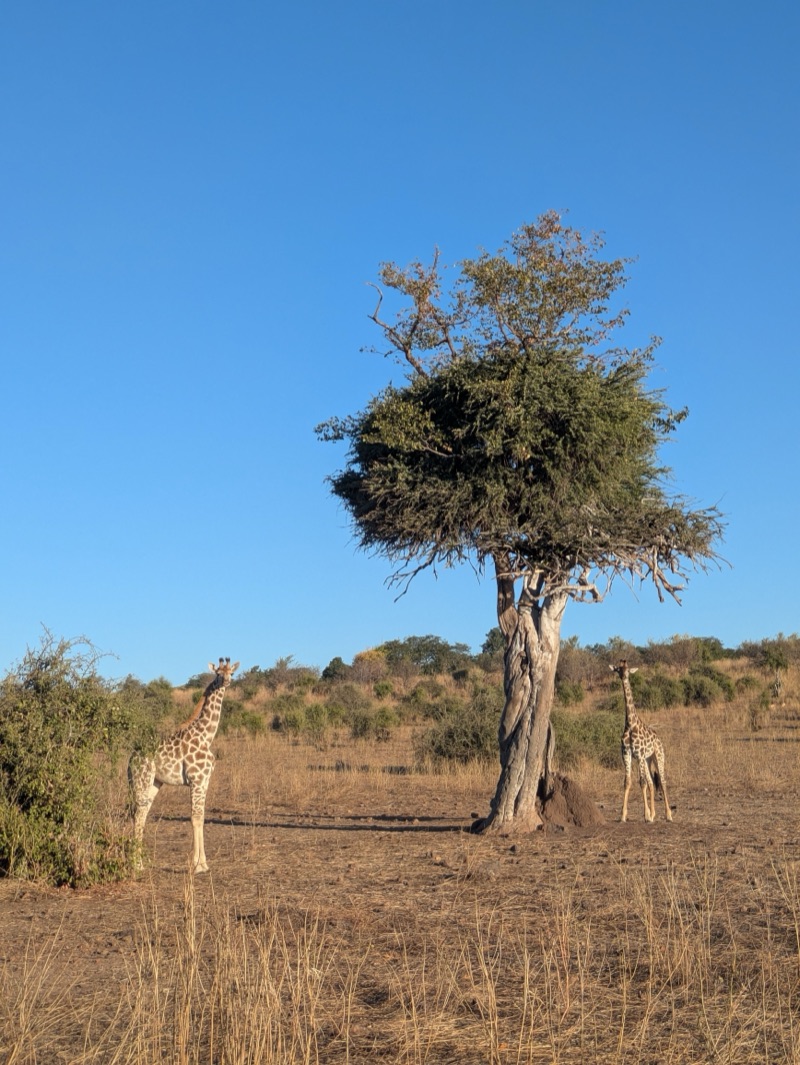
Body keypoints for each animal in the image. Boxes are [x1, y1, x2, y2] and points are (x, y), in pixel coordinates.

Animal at [129, 657, 239, 872]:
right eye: (218, 674)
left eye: (231, 672)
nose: (226, 681)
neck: (206, 735)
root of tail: (130, 759)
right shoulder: (196, 780)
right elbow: (195, 818)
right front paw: (196, 865)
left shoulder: (205, 781)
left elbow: (201, 817)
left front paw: (204, 864)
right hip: (141, 780)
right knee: (137, 814)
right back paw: (135, 864)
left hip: (154, 783)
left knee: (142, 813)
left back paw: (140, 862)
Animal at [609, 660, 673, 824]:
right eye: (618, 670)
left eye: (628, 670)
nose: (623, 676)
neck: (631, 724)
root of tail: (659, 739)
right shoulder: (627, 754)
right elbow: (628, 782)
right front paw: (623, 815)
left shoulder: (639, 755)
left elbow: (642, 782)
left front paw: (646, 816)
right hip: (648, 759)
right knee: (651, 782)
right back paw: (654, 813)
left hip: (657, 756)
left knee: (662, 781)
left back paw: (668, 814)